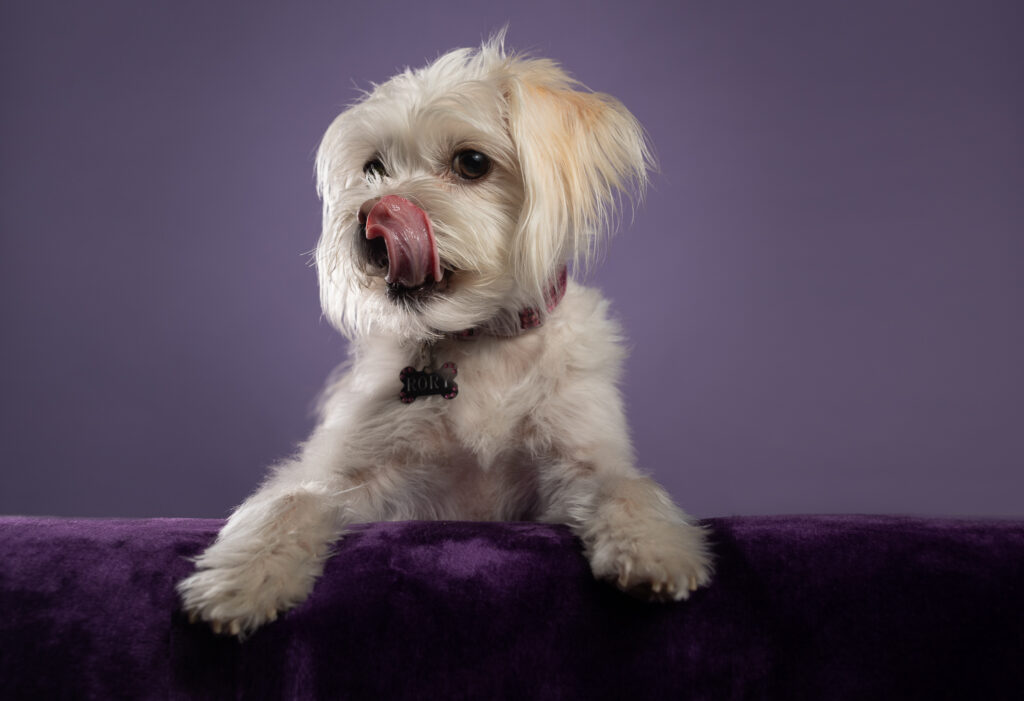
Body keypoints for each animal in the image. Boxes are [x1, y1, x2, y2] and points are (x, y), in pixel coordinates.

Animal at [178, 34, 712, 634]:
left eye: (472, 163)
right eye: (373, 167)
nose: (372, 215)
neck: (481, 342)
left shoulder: (578, 465)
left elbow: (626, 486)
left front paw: (654, 548)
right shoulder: (349, 476)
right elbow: (289, 500)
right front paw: (242, 580)